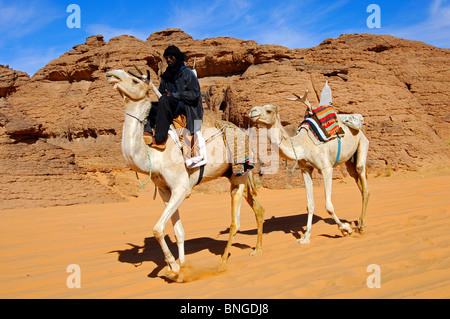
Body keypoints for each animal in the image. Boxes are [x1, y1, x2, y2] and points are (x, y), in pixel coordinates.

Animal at [107, 68, 266, 282]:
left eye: (134, 80)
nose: (111, 74)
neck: (155, 155)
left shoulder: (181, 188)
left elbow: (158, 229)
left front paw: (173, 267)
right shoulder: (166, 191)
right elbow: (178, 231)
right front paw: (181, 268)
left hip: (238, 174)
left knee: (236, 221)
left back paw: (222, 263)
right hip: (234, 175)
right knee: (258, 207)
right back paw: (257, 249)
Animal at [250, 93, 370, 245]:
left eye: (269, 110)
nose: (252, 111)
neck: (303, 145)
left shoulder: (326, 168)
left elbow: (328, 206)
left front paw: (345, 229)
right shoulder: (305, 169)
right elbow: (310, 204)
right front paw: (305, 237)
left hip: (362, 142)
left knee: (363, 181)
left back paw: (361, 225)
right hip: (350, 160)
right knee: (357, 178)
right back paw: (359, 222)